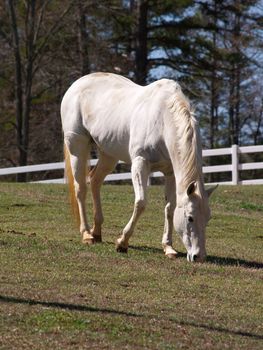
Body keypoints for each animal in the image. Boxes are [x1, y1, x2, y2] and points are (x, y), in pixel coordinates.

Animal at [61, 72, 217, 262]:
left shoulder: (170, 173)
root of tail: (77, 84)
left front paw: (168, 248)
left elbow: (170, 208)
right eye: (190, 218)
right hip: (77, 146)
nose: (199, 256)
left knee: (95, 180)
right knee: (81, 188)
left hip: (108, 154)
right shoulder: (140, 164)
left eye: (208, 219)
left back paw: (96, 232)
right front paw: (122, 242)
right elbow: (141, 202)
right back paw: (86, 234)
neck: (162, 120)